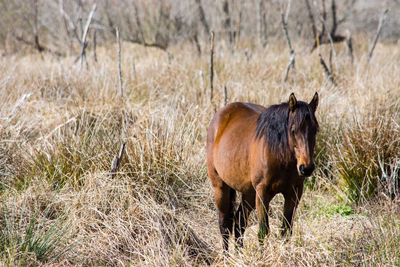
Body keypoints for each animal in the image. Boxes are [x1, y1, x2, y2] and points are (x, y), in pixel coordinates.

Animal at [206, 92, 318, 251]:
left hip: (249, 192)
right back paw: (227, 255)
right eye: (293, 130)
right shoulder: (263, 193)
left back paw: (240, 252)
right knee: (225, 225)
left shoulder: (293, 193)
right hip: (220, 187)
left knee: (239, 221)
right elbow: (263, 231)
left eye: (315, 130)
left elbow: (286, 230)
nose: (306, 167)